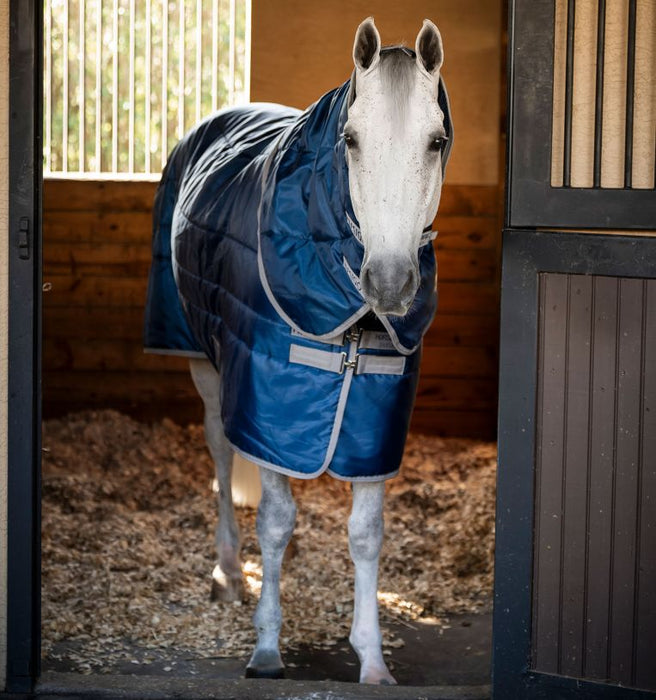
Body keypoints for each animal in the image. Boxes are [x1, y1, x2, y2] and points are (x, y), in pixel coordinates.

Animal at [144, 17, 452, 685]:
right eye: (351, 140)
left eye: (437, 141)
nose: (390, 282)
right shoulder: (267, 404)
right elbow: (276, 520)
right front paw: (266, 648)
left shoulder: (374, 422)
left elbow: (366, 533)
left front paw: (372, 658)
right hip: (205, 362)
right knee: (221, 453)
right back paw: (230, 574)